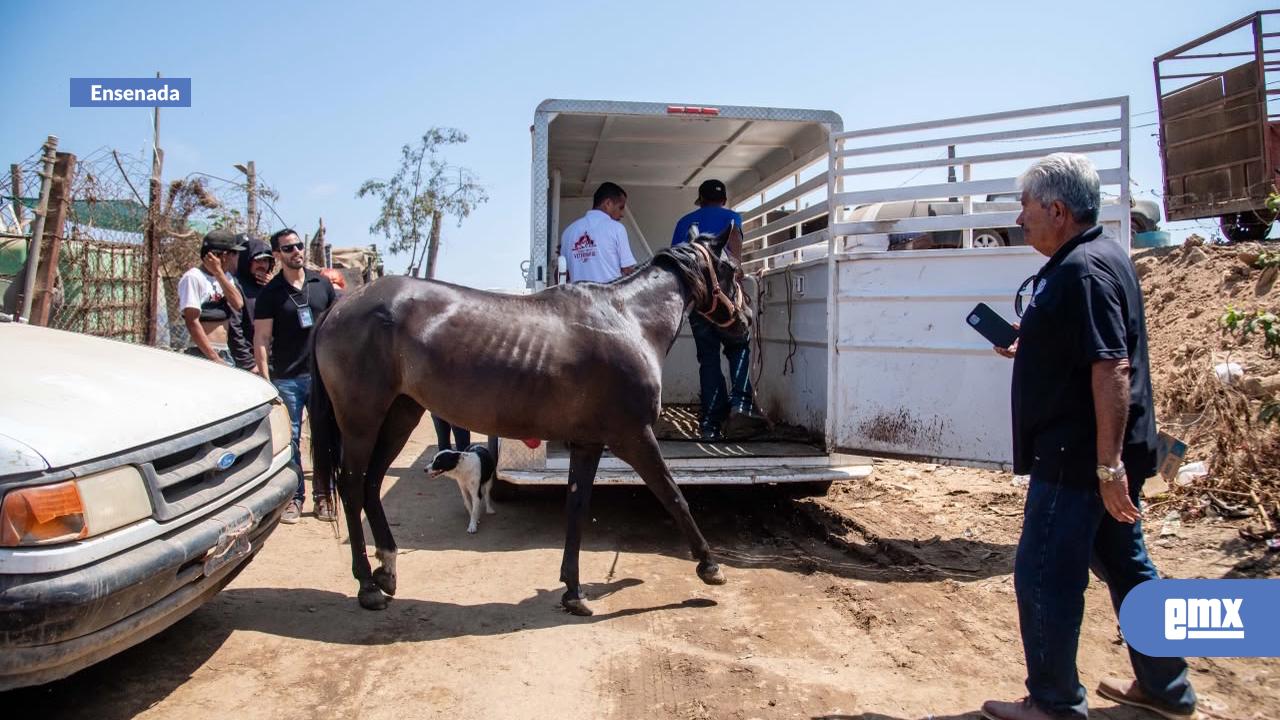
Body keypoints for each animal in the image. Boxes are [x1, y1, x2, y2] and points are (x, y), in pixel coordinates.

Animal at [308, 225, 751, 615]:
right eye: (734, 269)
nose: (745, 322)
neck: (628, 321)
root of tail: (339, 306)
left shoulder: (588, 442)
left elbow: (577, 506)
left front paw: (573, 592)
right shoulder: (634, 437)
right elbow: (673, 495)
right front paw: (710, 566)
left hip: (400, 414)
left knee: (371, 483)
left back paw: (387, 569)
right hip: (361, 420)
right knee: (352, 486)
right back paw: (367, 586)